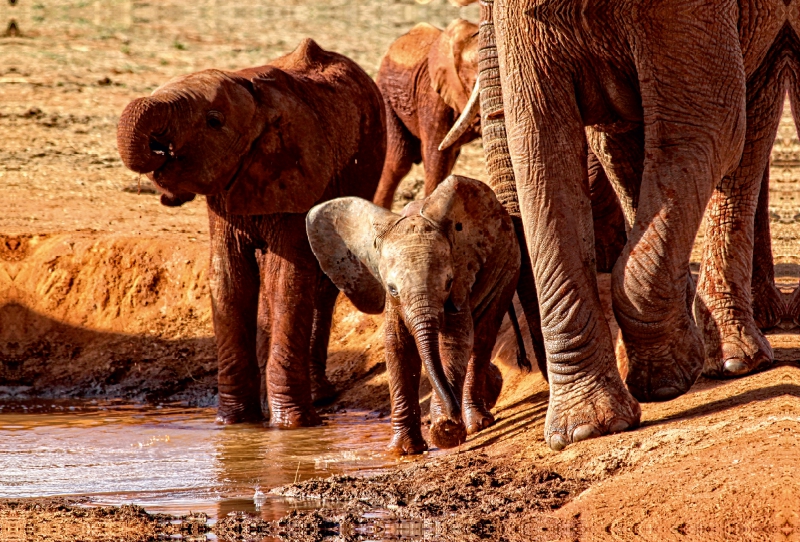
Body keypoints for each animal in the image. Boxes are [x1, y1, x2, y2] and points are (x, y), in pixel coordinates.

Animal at [115, 39, 388, 430]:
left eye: (214, 121)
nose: (162, 149)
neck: (257, 97)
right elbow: (229, 279)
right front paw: (234, 423)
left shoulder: (299, 179)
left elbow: (287, 279)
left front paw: (292, 426)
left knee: (321, 284)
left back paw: (318, 396)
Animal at [304, 177, 520, 454]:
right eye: (392, 288)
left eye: (448, 283)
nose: (452, 416)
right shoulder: (394, 302)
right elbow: (398, 345)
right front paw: (404, 450)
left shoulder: (461, 276)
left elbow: (456, 340)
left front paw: (445, 431)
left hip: (509, 264)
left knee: (483, 336)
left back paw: (477, 423)